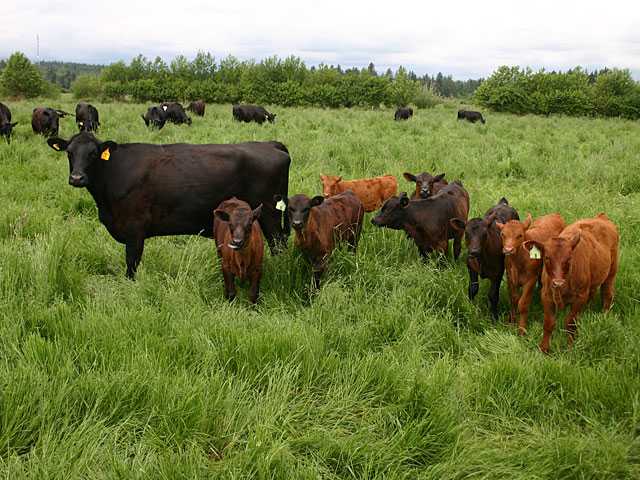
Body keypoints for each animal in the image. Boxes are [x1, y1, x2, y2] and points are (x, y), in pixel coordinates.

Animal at [46, 133, 292, 280]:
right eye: (69, 152)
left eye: (93, 154)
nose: (77, 178)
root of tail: (270, 144)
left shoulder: (135, 229)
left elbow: (131, 264)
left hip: (269, 213)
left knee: (279, 245)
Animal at [524, 214, 620, 352]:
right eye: (547, 257)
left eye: (569, 258)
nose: (558, 283)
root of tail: (601, 217)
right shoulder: (546, 295)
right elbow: (548, 323)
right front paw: (544, 348)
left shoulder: (580, 297)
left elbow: (570, 323)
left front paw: (570, 346)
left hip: (611, 273)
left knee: (607, 295)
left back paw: (604, 317)